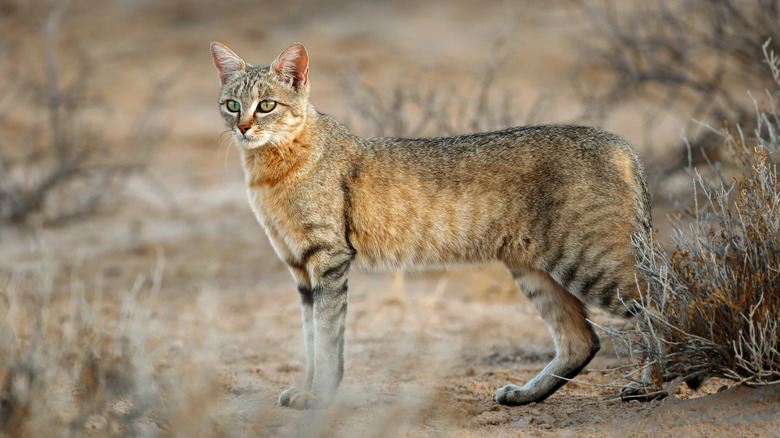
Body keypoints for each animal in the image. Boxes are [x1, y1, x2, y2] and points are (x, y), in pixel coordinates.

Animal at [209, 41, 652, 410]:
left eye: (267, 105)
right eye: (231, 104)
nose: (243, 127)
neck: (268, 170)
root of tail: (620, 143)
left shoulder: (329, 258)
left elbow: (327, 337)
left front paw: (320, 396)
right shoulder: (299, 266)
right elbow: (310, 338)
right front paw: (307, 389)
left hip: (590, 262)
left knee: (657, 302)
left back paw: (651, 385)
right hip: (534, 269)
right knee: (582, 340)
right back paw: (525, 395)